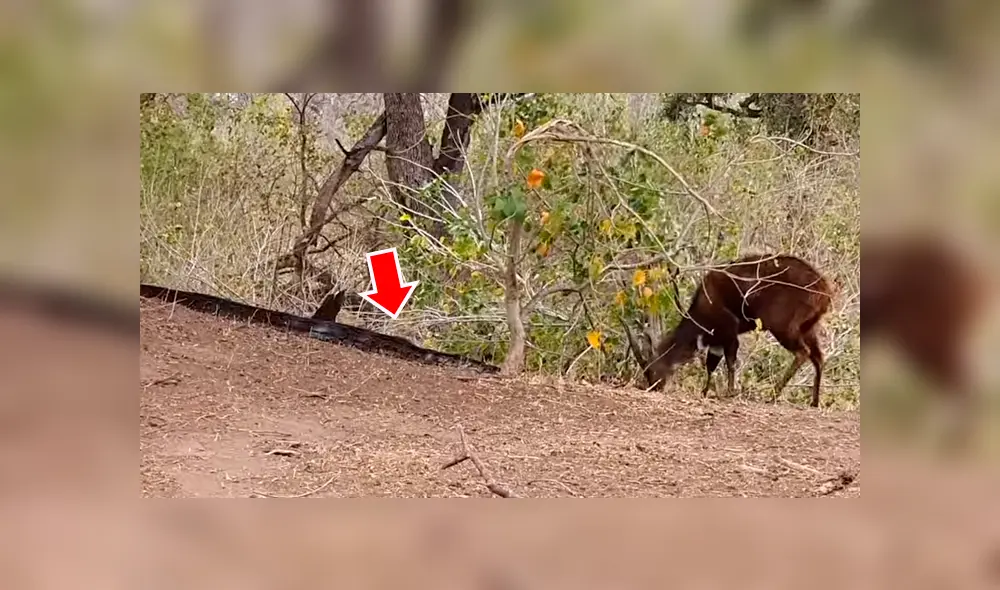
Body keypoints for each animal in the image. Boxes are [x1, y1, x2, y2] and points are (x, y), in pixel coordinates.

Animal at [622, 253, 835, 407]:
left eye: (650, 369)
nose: (654, 387)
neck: (701, 309)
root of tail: (825, 291)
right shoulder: (717, 339)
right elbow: (711, 364)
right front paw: (705, 392)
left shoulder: (730, 331)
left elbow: (730, 362)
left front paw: (729, 392)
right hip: (809, 327)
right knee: (819, 357)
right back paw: (814, 402)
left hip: (782, 326)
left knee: (803, 353)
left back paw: (772, 396)